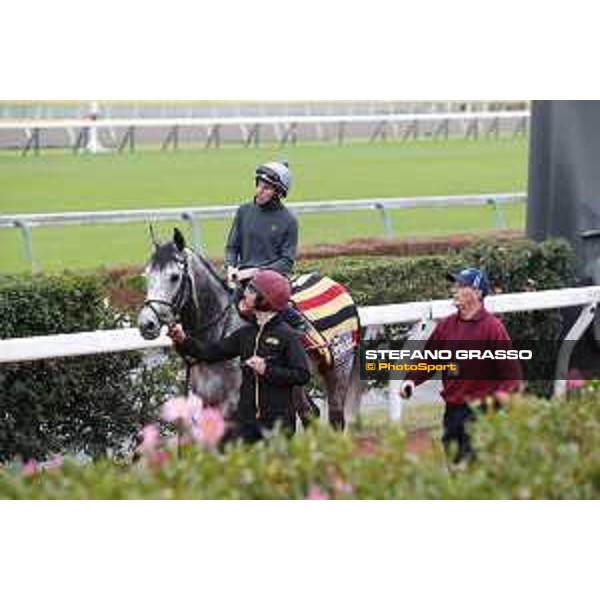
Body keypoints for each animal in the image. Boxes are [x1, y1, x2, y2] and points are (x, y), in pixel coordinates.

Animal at [138, 227, 364, 428]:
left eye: (174, 276)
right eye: (147, 275)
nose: (146, 324)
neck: (218, 331)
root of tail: (341, 289)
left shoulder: (233, 405)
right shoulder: (205, 401)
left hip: (338, 370)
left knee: (336, 417)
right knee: (309, 413)